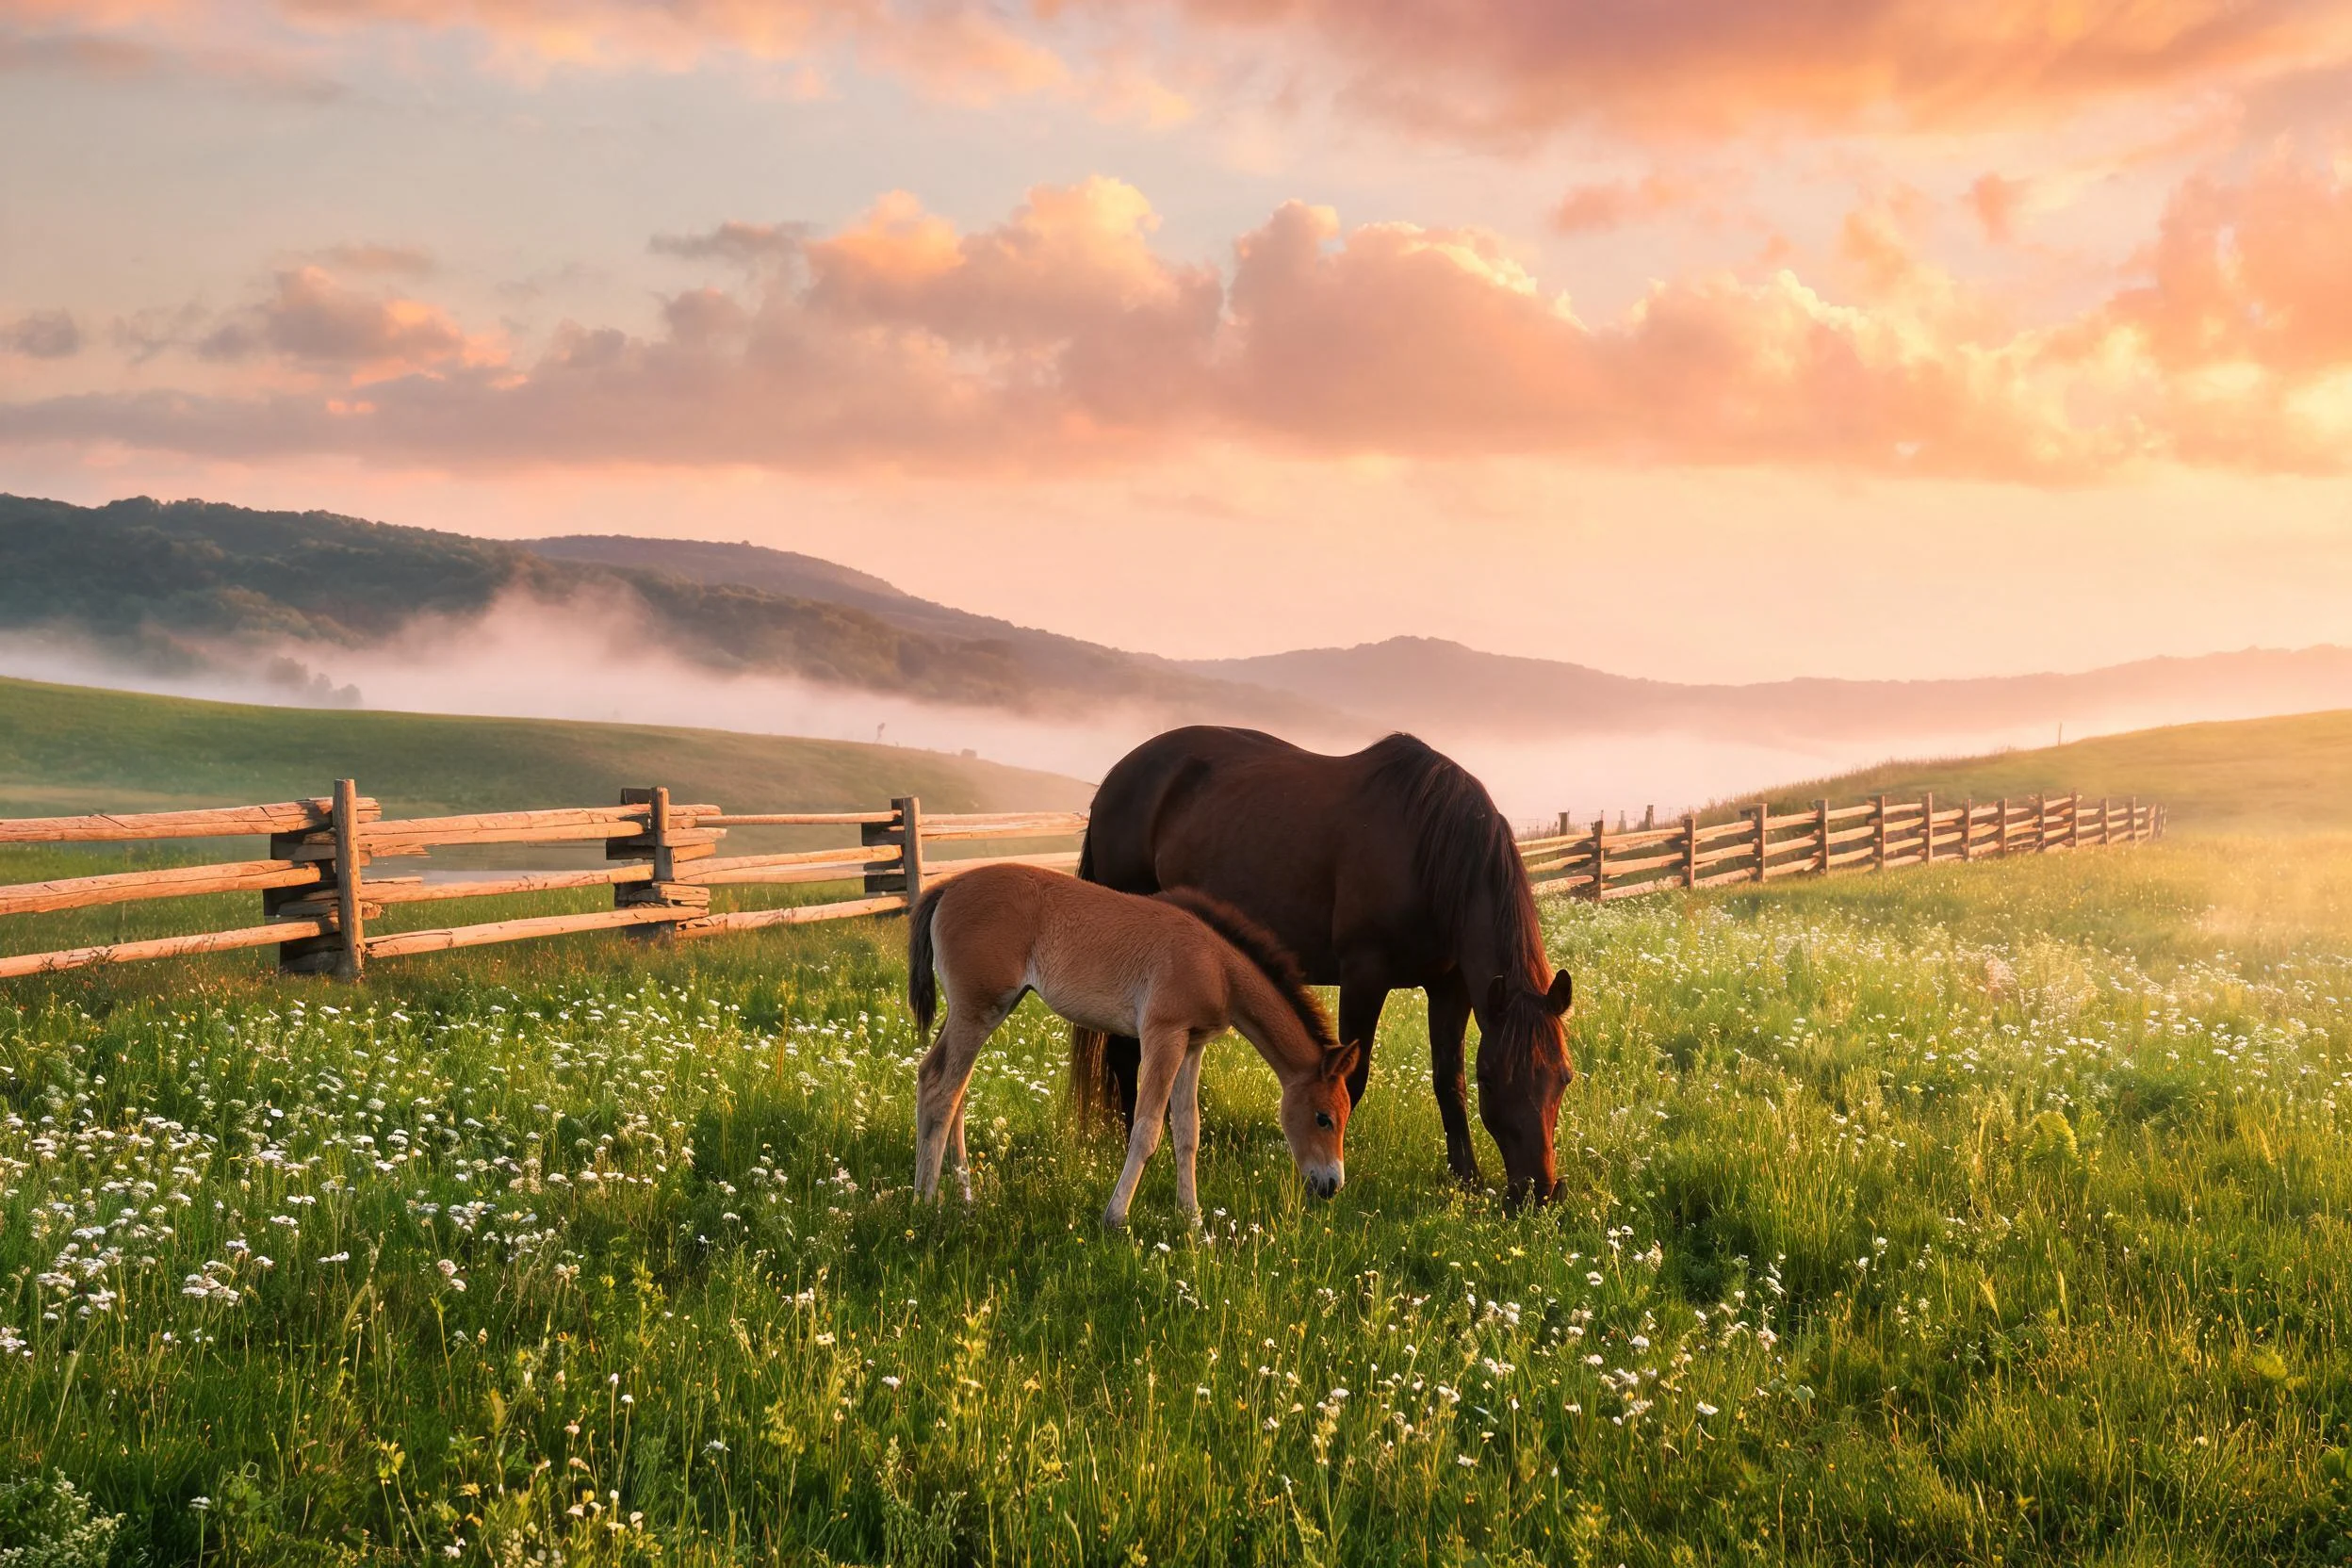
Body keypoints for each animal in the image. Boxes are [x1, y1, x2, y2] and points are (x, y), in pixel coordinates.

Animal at [907, 862, 1362, 1229]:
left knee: (946, 1081)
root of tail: (947, 886)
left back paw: (964, 1195)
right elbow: (1147, 1129)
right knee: (942, 1087)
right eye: (1324, 1118)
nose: (1331, 1186)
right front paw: (1115, 1217)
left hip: (987, 1009)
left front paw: (1192, 1219)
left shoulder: (1192, 1045)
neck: (1216, 966)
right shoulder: (1164, 1035)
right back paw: (925, 1201)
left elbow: (1188, 1132)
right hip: (978, 1010)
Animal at [1071, 728, 1574, 1206]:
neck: (1428, 848)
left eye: (1565, 1077)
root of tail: (1112, 783)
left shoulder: (1452, 988)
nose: (1537, 1193)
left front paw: (1467, 1177)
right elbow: (1354, 1080)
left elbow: (1448, 1080)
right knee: (1124, 1054)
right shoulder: (1364, 977)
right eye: (1491, 1080)